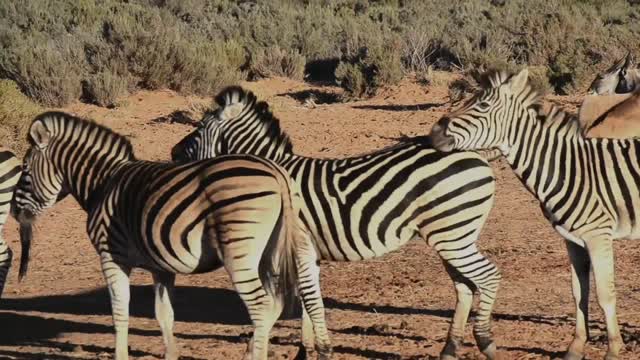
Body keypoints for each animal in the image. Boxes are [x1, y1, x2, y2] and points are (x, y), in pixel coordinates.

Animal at [12, 112, 332, 360]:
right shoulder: (161, 266)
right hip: (274, 251)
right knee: (280, 301)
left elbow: (120, 310)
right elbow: (164, 314)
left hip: (239, 253)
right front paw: (171, 354)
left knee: (261, 306)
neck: (103, 183)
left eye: (25, 171)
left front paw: (120, 353)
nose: (14, 213)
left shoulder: (111, 255)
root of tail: (276, 172)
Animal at [172, 86, 502, 358]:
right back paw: (450, 348)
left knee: (488, 277)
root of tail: (474, 154)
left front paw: (321, 350)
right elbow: (308, 300)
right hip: (452, 235)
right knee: (465, 287)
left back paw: (486, 341)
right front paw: (304, 351)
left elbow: (309, 301)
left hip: (451, 236)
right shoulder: (308, 253)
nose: (173, 153)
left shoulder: (299, 246)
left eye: (199, 127)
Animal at [428, 68, 636, 360]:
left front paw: (614, 349)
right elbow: (578, 293)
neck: (565, 168)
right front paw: (575, 347)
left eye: (482, 106)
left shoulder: (598, 236)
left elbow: (605, 294)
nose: (433, 133)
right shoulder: (572, 240)